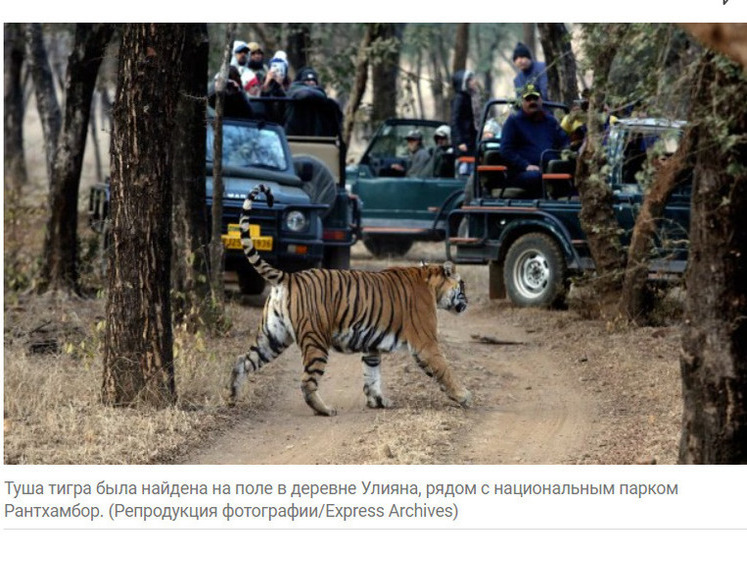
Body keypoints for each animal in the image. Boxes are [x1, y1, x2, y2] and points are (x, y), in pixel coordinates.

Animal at [229, 184, 474, 416]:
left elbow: (372, 375)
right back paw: (325, 410)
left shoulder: (373, 346)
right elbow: (445, 369)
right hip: (315, 339)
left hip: (274, 336)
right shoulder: (426, 342)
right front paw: (463, 396)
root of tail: (289, 276)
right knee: (307, 382)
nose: (468, 302)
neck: (431, 283)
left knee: (242, 361)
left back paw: (232, 396)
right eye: (462, 285)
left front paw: (378, 401)